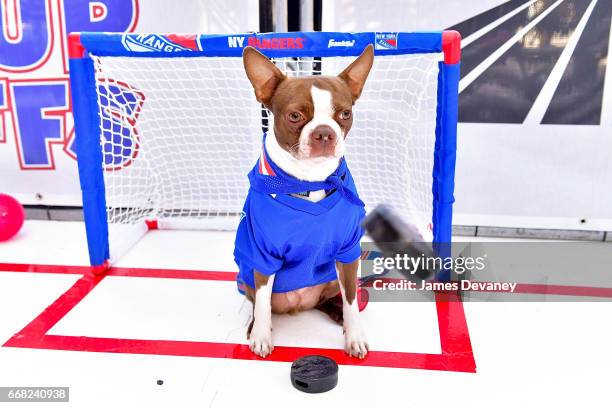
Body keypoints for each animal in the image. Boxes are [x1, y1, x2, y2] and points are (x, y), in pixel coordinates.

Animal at [241, 43, 376, 356]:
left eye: (345, 114)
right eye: (295, 116)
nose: (324, 133)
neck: (311, 180)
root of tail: (299, 306)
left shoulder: (348, 253)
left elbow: (352, 301)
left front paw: (354, 335)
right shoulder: (262, 256)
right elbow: (262, 304)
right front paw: (261, 336)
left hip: (331, 278)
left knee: (332, 299)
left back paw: (336, 312)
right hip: (246, 277)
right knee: (258, 303)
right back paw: (255, 325)